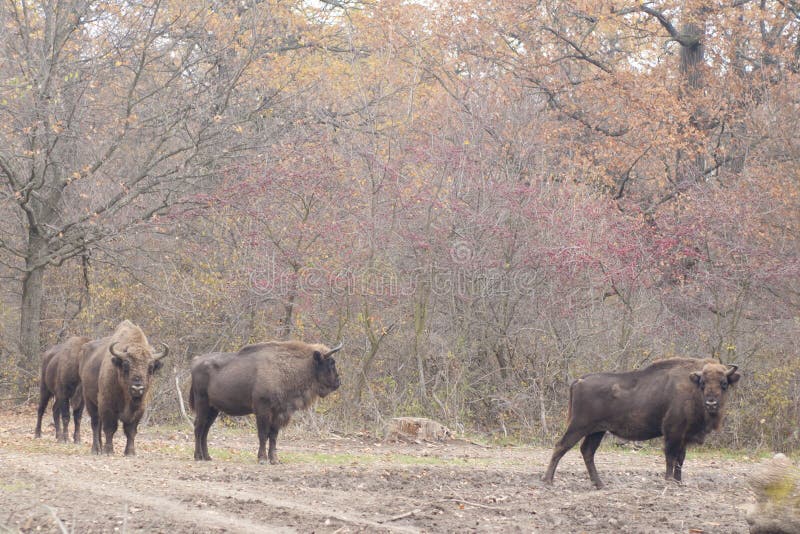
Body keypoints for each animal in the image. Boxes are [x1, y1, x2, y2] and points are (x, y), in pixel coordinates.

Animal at [79, 322, 168, 456]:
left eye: (151, 367)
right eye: (126, 365)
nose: (137, 388)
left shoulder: (139, 409)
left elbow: (131, 430)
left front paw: (130, 452)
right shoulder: (107, 405)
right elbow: (110, 428)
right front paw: (109, 451)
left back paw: (100, 448)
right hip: (89, 400)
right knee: (95, 424)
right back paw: (96, 449)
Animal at [193, 344, 344, 464]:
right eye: (330, 363)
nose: (338, 382)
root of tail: (196, 361)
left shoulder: (279, 413)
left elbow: (273, 435)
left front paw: (275, 460)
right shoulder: (263, 411)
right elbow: (263, 434)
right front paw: (262, 459)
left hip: (213, 409)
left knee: (205, 430)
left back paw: (207, 457)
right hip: (202, 404)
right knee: (199, 427)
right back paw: (198, 457)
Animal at [540, 360, 740, 490]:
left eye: (724, 383)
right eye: (703, 383)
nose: (711, 403)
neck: (692, 387)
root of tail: (579, 380)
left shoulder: (683, 436)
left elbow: (680, 459)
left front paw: (679, 482)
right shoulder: (673, 432)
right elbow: (671, 456)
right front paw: (669, 482)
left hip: (597, 431)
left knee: (587, 452)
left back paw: (600, 484)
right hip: (579, 426)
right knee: (561, 446)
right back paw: (548, 481)